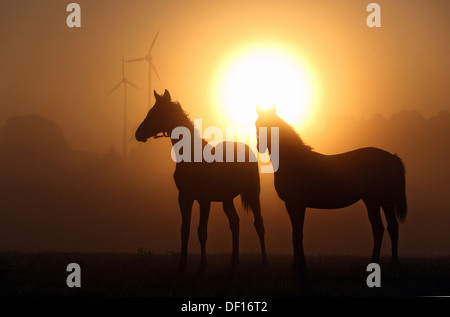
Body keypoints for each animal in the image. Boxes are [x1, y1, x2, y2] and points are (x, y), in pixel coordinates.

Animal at [134, 89, 268, 272]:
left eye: (156, 113)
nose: (138, 134)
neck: (191, 156)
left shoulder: (204, 199)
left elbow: (202, 231)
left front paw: (202, 266)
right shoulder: (184, 198)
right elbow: (185, 230)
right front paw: (182, 265)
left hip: (253, 193)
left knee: (259, 224)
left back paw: (264, 262)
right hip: (227, 199)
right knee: (235, 223)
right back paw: (234, 263)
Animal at [256, 105, 408, 270]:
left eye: (271, 126)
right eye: (256, 124)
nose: (259, 147)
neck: (293, 161)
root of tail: (392, 157)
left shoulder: (296, 204)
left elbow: (297, 234)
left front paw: (299, 267)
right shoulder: (293, 205)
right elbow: (296, 233)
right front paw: (298, 265)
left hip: (374, 201)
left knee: (379, 228)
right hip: (384, 201)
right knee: (391, 227)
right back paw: (393, 264)